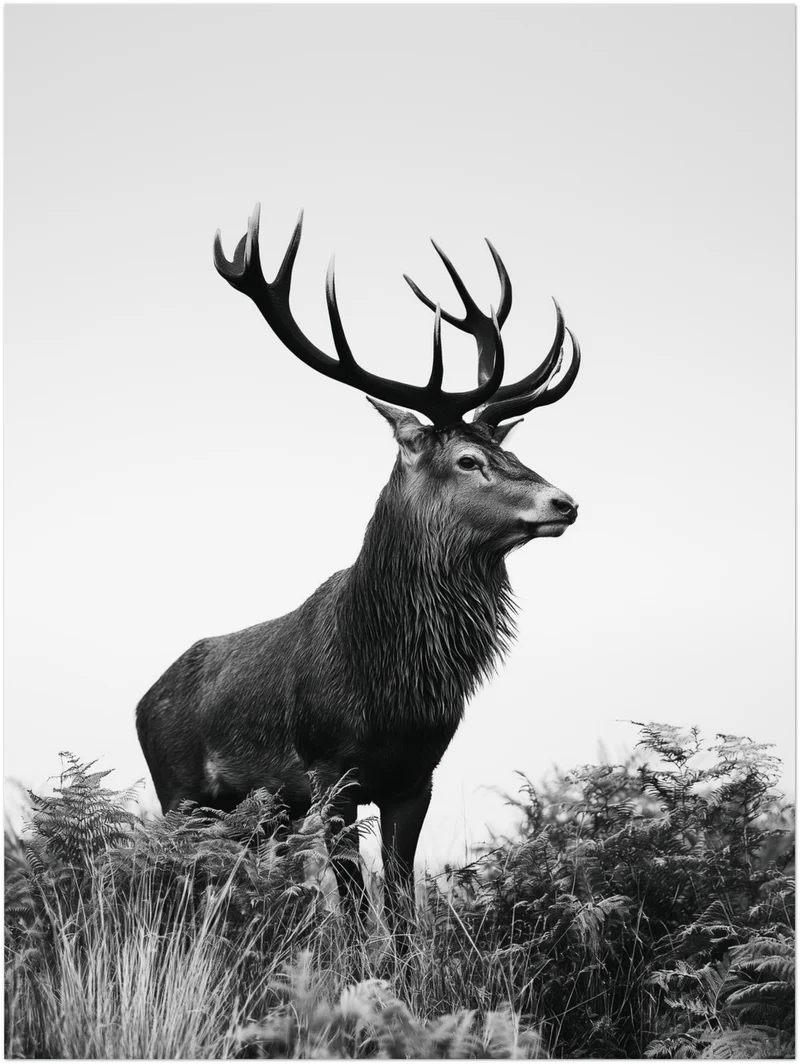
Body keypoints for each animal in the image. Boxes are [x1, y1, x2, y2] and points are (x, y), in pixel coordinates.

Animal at [136, 204, 581, 929]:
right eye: (468, 460)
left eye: (508, 450)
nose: (564, 501)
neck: (389, 683)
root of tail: (144, 699)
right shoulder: (331, 772)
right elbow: (350, 904)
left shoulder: (415, 777)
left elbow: (399, 905)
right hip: (177, 790)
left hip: (264, 813)